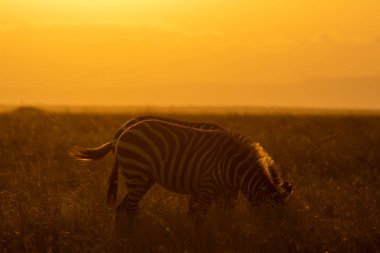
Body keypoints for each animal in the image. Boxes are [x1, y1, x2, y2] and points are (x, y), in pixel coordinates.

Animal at [70, 119, 290, 220]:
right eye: (275, 215)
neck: (236, 170)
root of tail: (122, 133)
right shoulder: (207, 187)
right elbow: (199, 218)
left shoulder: (227, 192)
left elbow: (224, 217)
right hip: (137, 173)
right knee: (129, 209)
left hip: (144, 178)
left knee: (122, 210)